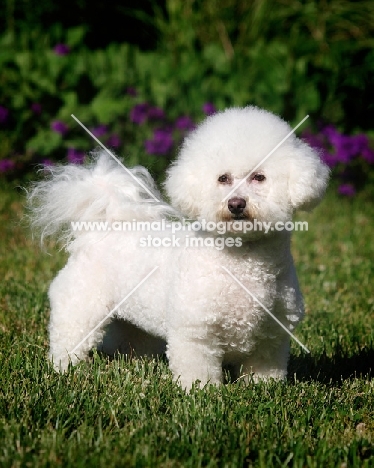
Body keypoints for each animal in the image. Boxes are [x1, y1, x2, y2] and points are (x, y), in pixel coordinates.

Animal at [28, 106, 328, 388]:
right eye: (223, 178)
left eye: (259, 178)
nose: (236, 204)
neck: (243, 260)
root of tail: (100, 224)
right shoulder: (195, 331)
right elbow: (198, 369)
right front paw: (201, 391)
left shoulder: (271, 336)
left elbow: (265, 369)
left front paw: (263, 388)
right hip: (82, 305)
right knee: (69, 337)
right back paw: (64, 368)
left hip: (134, 315)